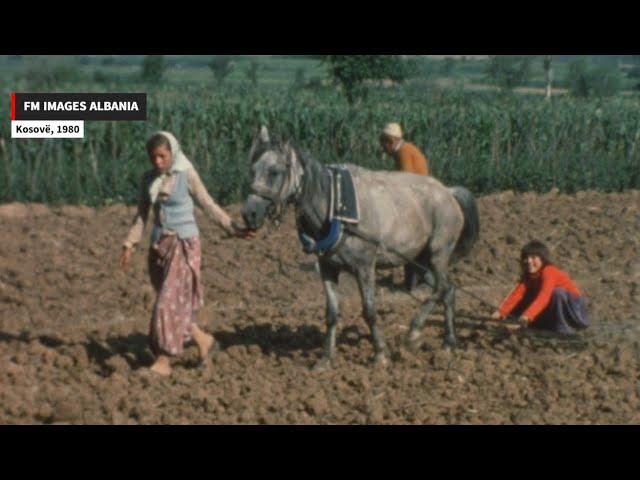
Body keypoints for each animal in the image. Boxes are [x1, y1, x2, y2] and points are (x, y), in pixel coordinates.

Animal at [242, 125, 478, 370]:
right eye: (253, 170)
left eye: (274, 172)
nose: (249, 213)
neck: (335, 207)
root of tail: (449, 192)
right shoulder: (327, 267)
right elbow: (332, 313)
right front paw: (326, 358)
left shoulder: (364, 266)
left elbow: (369, 311)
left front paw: (380, 354)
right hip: (421, 259)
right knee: (449, 290)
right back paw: (449, 341)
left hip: (438, 253)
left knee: (441, 288)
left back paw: (414, 333)